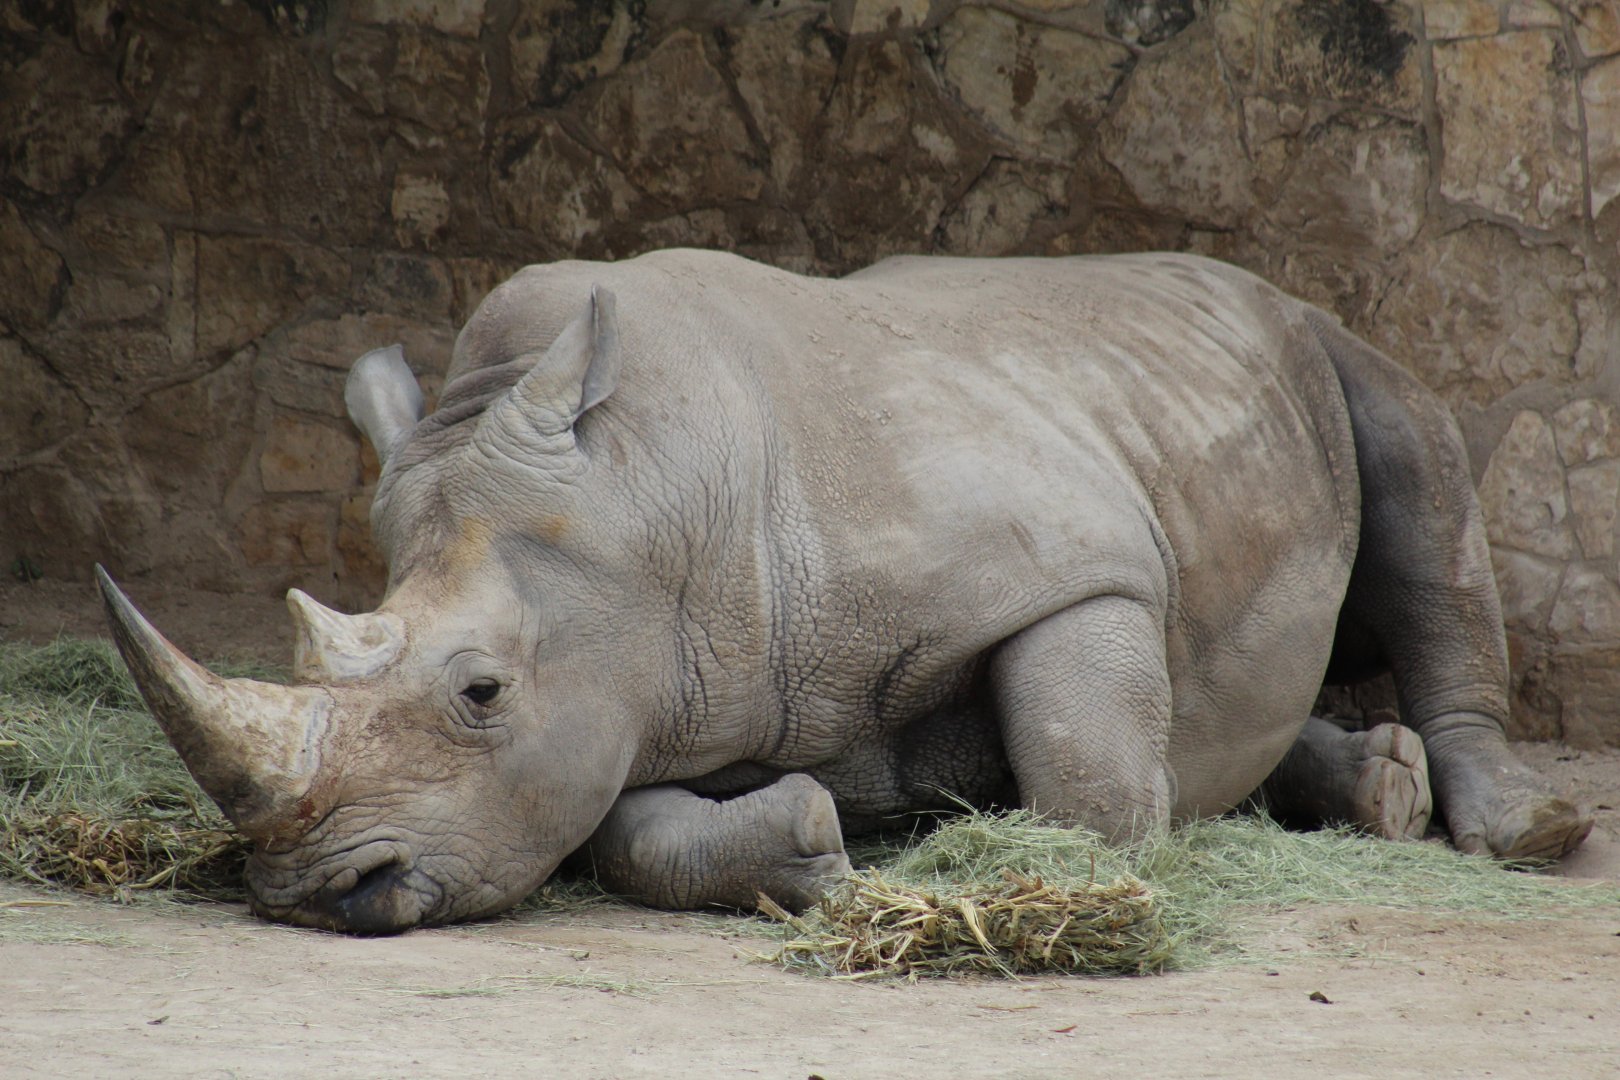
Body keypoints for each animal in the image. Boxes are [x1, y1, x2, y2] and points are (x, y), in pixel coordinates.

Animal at [99, 250, 1592, 934]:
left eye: (479, 691)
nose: (315, 891)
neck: (655, 491)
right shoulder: (657, 682)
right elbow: (626, 830)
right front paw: (817, 840)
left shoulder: (1077, 561)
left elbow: (1091, 777)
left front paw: (1024, 845)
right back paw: (1374, 790)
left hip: (1320, 340)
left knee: (1416, 473)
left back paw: (1518, 829)